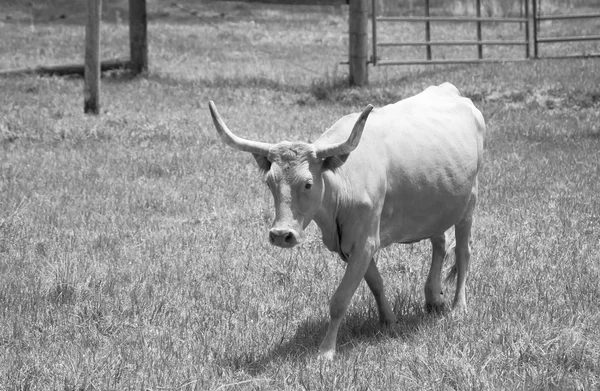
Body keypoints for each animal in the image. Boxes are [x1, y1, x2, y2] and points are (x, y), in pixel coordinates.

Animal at [209, 82, 486, 362]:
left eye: (308, 183)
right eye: (269, 182)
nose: (280, 234)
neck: (342, 183)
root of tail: (449, 90)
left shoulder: (365, 242)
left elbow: (340, 299)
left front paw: (326, 350)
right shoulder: (353, 246)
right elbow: (376, 283)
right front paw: (389, 322)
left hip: (470, 202)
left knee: (463, 252)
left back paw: (458, 307)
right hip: (435, 205)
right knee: (440, 242)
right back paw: (433, 298)